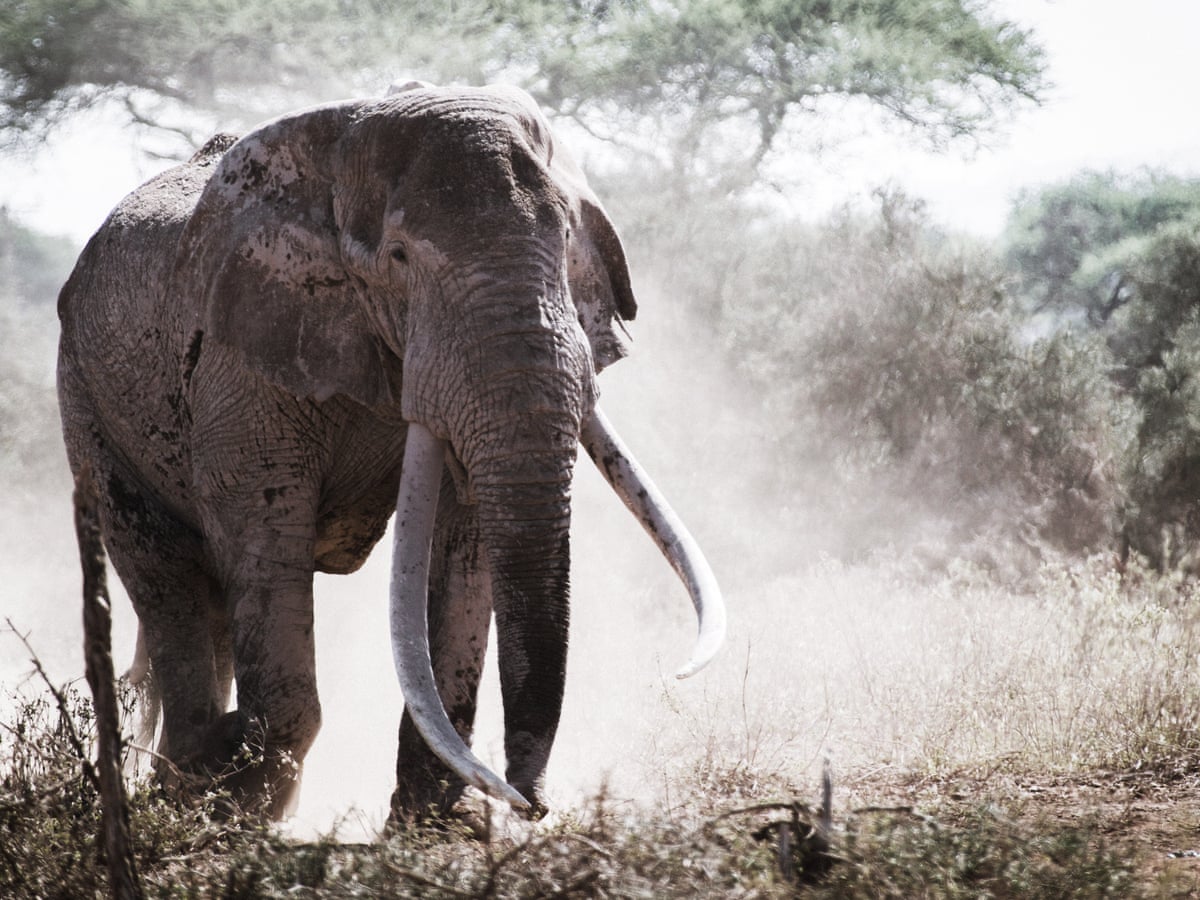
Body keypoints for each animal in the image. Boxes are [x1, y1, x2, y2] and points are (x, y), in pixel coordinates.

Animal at [57, 83, 725, 821]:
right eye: (400, 258)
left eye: (569, 242)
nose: (530, 802)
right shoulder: (241, 363)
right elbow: (262, 530)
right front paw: (242, 819)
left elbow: (464, 542)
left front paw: (441, 832)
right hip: (86, 399)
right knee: (164, 571)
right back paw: (195, 785)